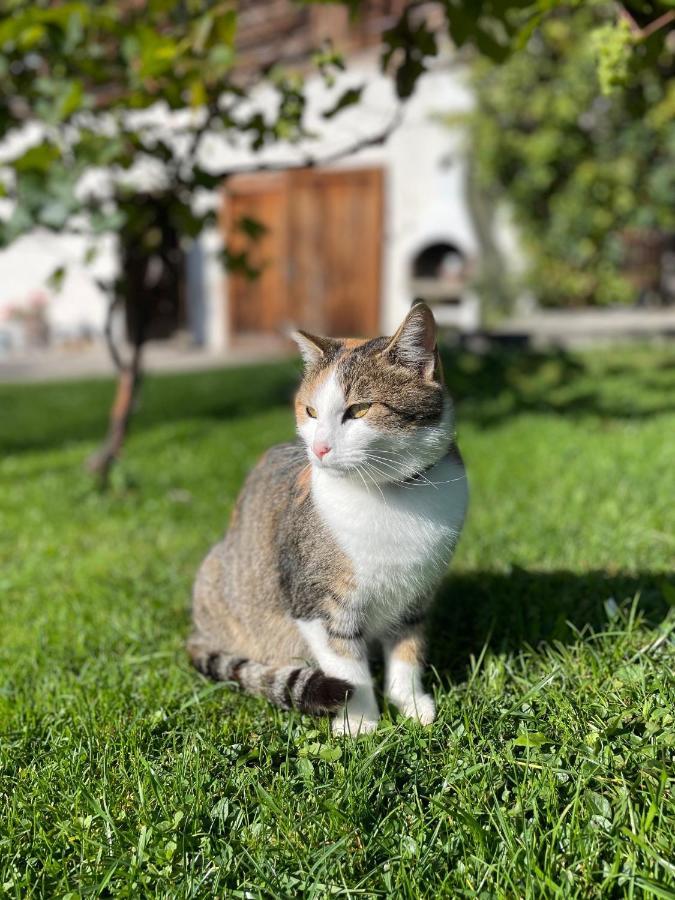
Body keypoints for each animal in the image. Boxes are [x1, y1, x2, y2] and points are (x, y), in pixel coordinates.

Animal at [187, 298, 468, 736]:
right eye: (311, 411)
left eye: (360, 409)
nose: (319, 448)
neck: (389, 495)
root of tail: (198, 630)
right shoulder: (315, 600)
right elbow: (347, 666)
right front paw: (361, 722)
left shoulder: (416, 595)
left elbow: (407, 650)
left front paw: (409, 702)